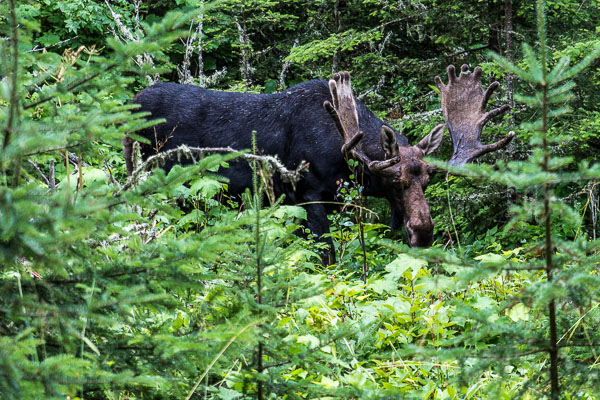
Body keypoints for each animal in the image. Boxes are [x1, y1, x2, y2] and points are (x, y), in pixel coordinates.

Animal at [125, 64, 510, 264]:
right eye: (394, 180)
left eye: (427, 180)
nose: (424, 232)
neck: (347, 156)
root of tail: (130, 104)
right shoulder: (308, 192)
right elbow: (327, 255)